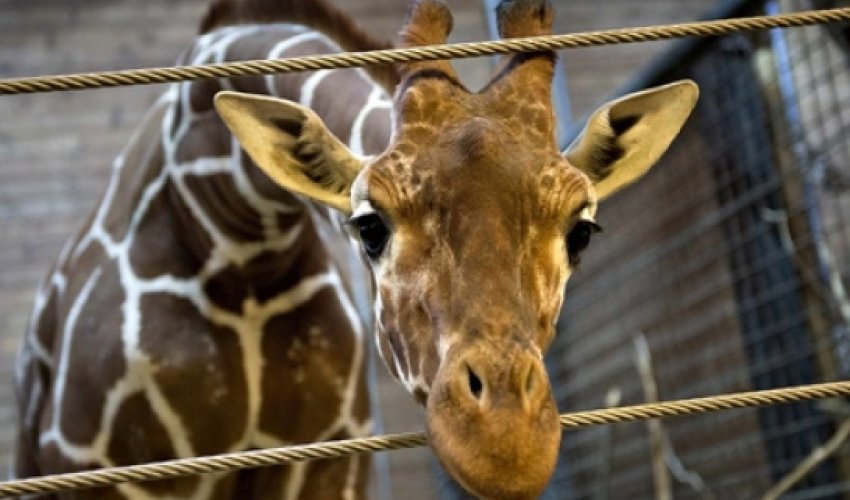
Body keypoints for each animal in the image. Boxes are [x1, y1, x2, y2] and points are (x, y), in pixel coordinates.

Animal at [13, 0, 699, 499]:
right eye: (369, 226)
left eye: (581, 230)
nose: (506, 446)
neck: (236, 239)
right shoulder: (101, 467)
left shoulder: (326, 464)